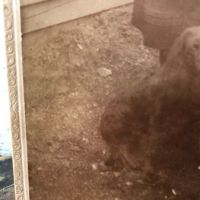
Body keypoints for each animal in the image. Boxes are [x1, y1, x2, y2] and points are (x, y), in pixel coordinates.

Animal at [101, 27, 200, 175]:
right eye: (195, 46)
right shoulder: (159, 121)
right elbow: (153, 149)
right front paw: (150, 171)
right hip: (122, 117)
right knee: (119, 144)